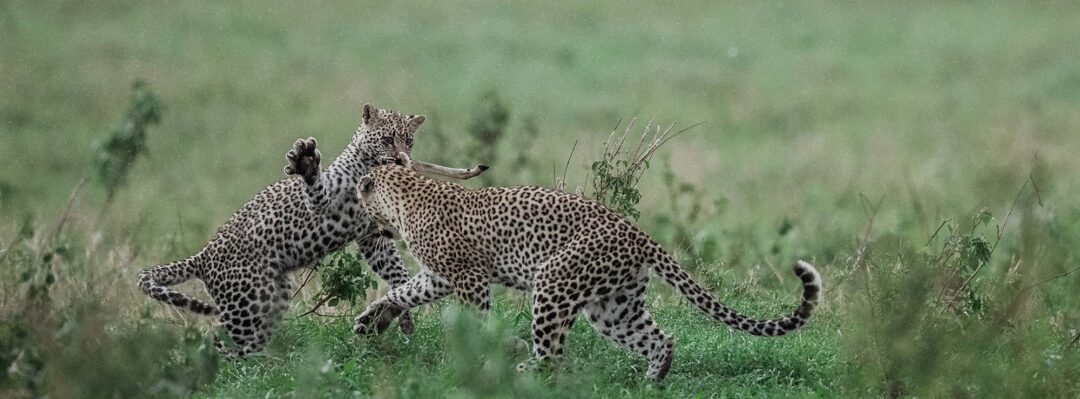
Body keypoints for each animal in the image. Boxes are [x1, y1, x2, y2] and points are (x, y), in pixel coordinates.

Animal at [137, 103, 488, 354]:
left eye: (410, 140)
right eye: (388, 139)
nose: (402, 159)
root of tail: (203, 255)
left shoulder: (371, 237)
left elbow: (395, 272)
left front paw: (399, 314)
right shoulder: (327, 201)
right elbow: (315, 188)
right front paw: (305, 161)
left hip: (268, 299)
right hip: (246, 305)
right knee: (220, 345)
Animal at [349, 155, 820, 378]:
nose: (362, 221)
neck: (405, 196)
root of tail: (637, 233)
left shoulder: (469, 279)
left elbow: (475, 320)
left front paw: (482, 351)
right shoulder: (439, 276)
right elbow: (404, 290)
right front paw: (373, 319)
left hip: (554, 283)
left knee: (552, 355)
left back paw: (521, 368)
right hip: (613, 306)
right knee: (659, 338)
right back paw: (652, 380)